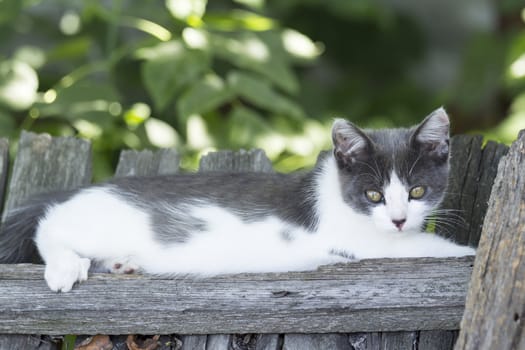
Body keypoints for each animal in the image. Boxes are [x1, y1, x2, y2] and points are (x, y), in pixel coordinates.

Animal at [0, 107, 474, 292]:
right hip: (85, 223)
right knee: (48, 227)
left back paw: (122, 264)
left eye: (416, 191)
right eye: (373, 194)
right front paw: (467, 251)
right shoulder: (358, 241)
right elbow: (421, 247)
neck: (336, 194)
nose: (398, 219)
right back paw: (65, 267)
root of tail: (83, 189)